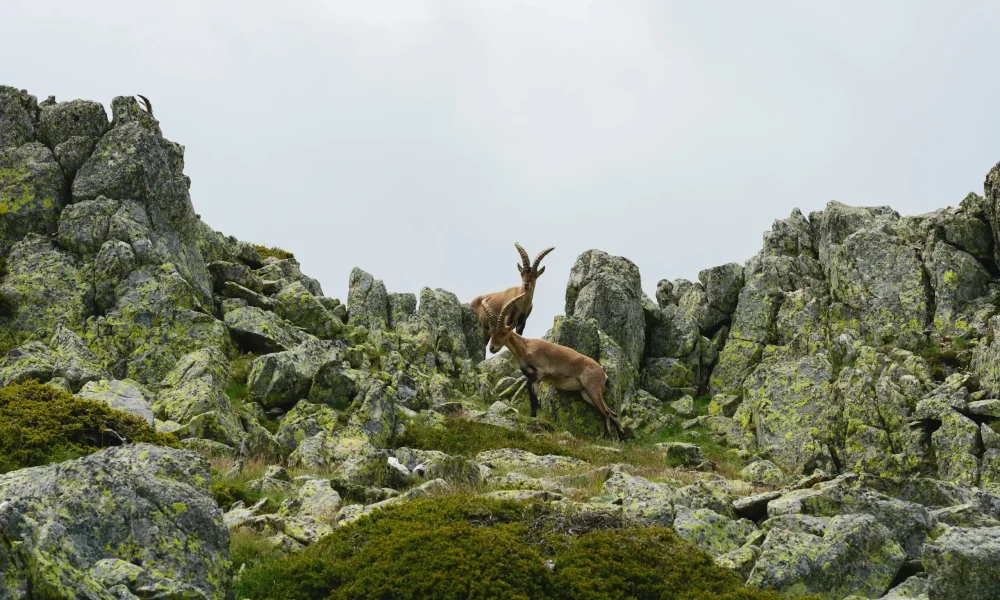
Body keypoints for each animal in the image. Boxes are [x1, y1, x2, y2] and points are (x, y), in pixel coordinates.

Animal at [482, 293, 626, 441]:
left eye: (504, 332)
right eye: (491, 331)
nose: (492, 348)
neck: (525, 348)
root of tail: (603, 374)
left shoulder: (540, 372)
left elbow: (533, 395)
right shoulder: (534, 378)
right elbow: (532, 398)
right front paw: (533, 418)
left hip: (593, 389)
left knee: (606, 413)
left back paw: (607, 437)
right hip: (586, 393)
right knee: (611, 413)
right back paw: (621, 437)